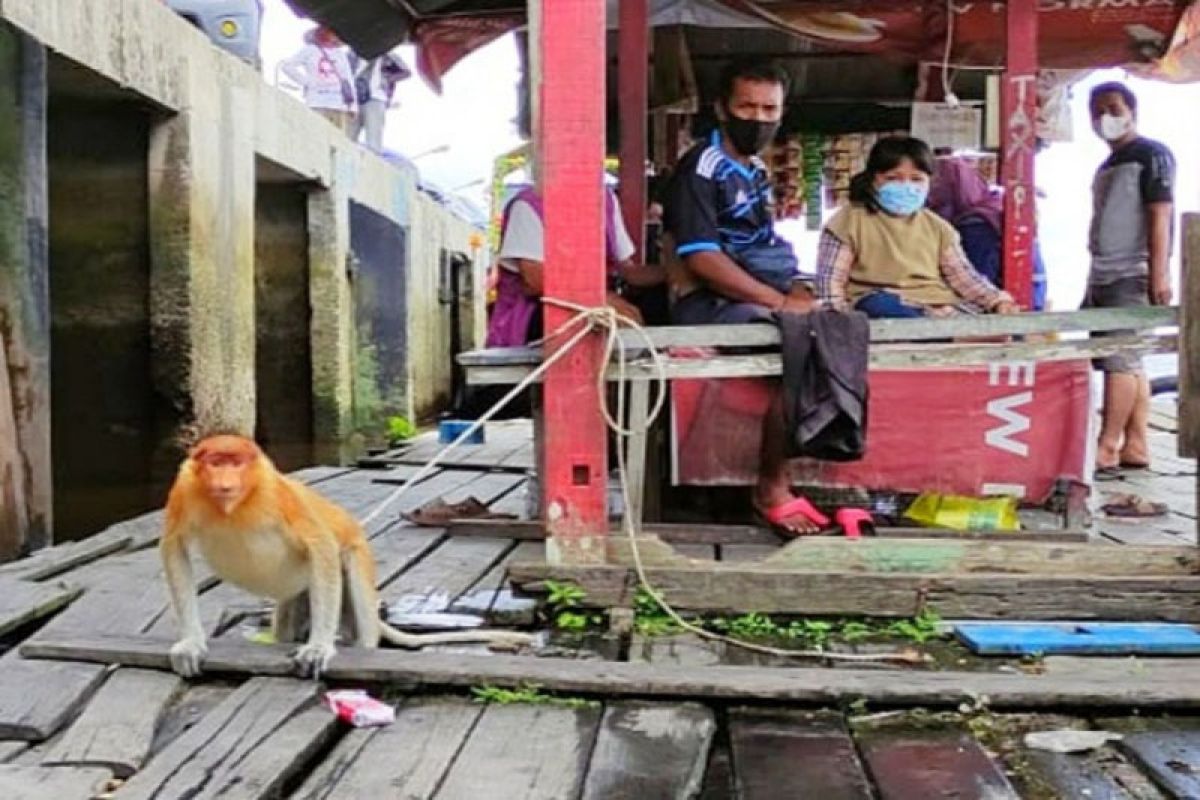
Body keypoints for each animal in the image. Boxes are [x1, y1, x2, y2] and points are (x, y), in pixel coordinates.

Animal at [162, 434, 537, 681]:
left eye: (235, 463)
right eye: (215, 463)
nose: (225, 483)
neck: (234, 506)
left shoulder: (277, 495)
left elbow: (322, 545)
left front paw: (318, 648)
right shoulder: (183, 489)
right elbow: (174, 547)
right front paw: (191, 644)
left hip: (357, 562)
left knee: (350, 576)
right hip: (296, 594)